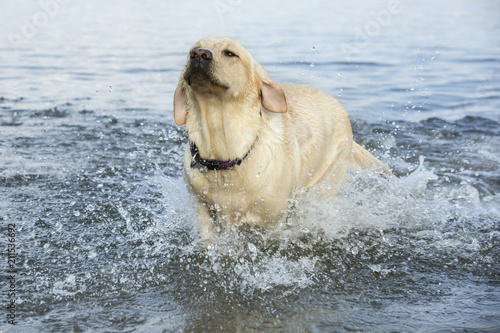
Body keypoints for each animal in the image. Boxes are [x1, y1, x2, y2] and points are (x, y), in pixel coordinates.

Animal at [174, 37, 388, 237]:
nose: (199, 54)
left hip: (326, 181)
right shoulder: (202, 210)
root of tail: (340, 107)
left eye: (230, 53)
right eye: (193, 49)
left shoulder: (272, 222)